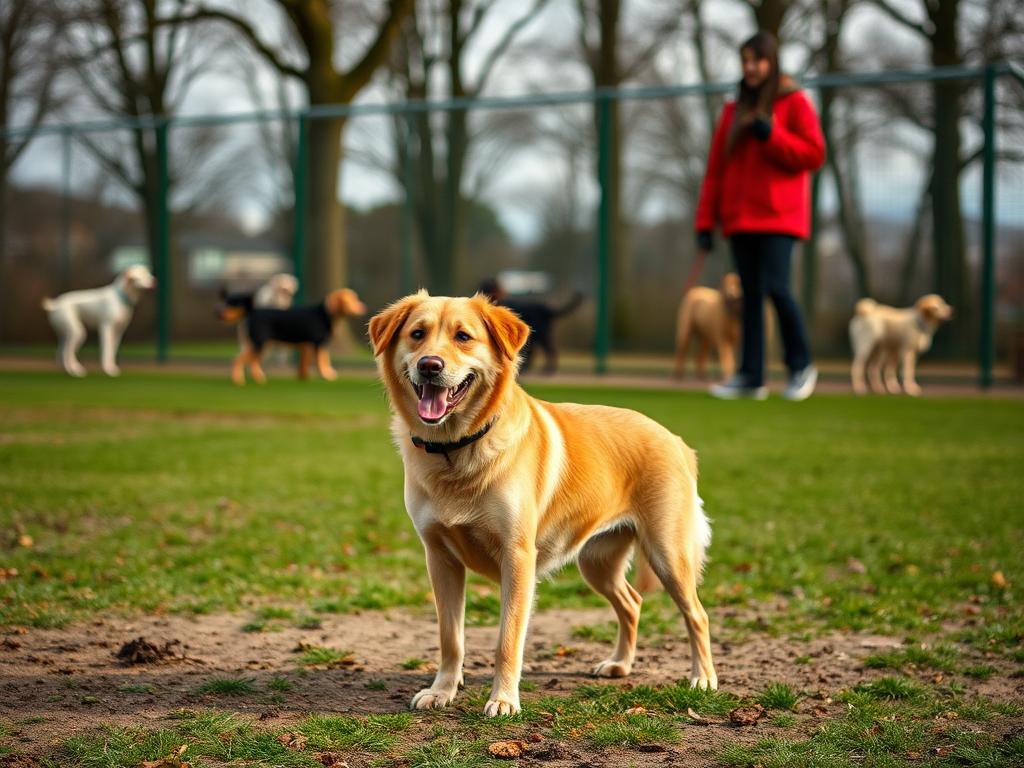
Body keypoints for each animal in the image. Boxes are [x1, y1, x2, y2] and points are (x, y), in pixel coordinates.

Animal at [220, 288, 368, 385]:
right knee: (241, 360)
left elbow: (304, 365)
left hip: (256, 344)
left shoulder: (306, 346)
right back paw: (242, 380)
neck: (323, 314)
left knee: (248, 361)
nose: (363, 307)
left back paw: (254, 378)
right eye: (350, 300)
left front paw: (304, 378)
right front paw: (326, 375)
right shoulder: (319, 343)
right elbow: (323, 360)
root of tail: (252, 311)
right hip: (260, 343)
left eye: (356, 298)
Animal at [372, 290, 716, 720]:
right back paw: (620, 664)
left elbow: (507, 640)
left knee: (697, 614)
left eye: (463, 337)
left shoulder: (518, 558)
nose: (429, 365)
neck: (457, 449)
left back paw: (703, 678)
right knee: (632, 603)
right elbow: (451, 638)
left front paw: (504, 699)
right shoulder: (440, 558)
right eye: (417, 334)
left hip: (668, 554)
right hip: (597, 563)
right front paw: (442, 690)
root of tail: (676, 441)